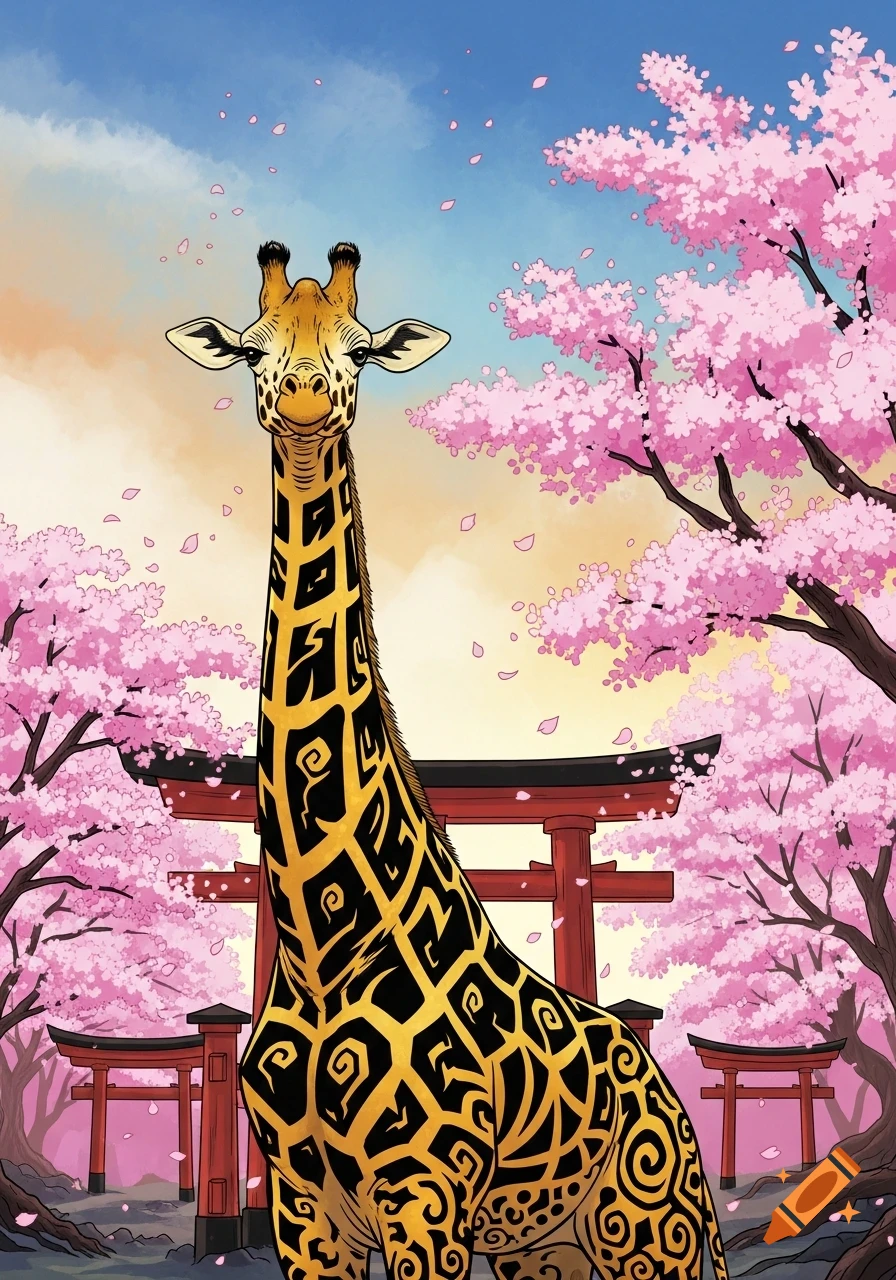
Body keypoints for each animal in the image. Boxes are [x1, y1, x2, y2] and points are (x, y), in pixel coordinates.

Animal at [166, 241, 730, 1280]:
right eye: (251, 346)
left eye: (360, 348)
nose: (303, 396)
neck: (319, 948)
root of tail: (673, 1105)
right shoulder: (304, 1207)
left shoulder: (426, 1191)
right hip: (547, 1248)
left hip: (647, 1231)